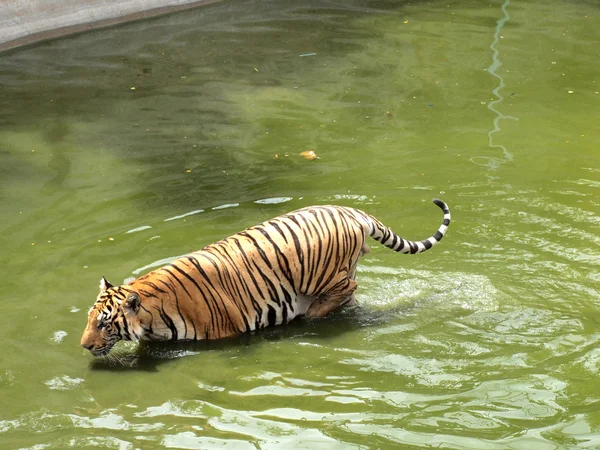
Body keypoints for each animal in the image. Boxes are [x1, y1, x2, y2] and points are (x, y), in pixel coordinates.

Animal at [82, 199, 452, 356]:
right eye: (89, 319)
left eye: (103, 323)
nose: (84, 345)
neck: (150, 314)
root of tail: (350, 210)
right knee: (351, 293)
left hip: (320, 273)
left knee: (346, 288)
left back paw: (309, 314)